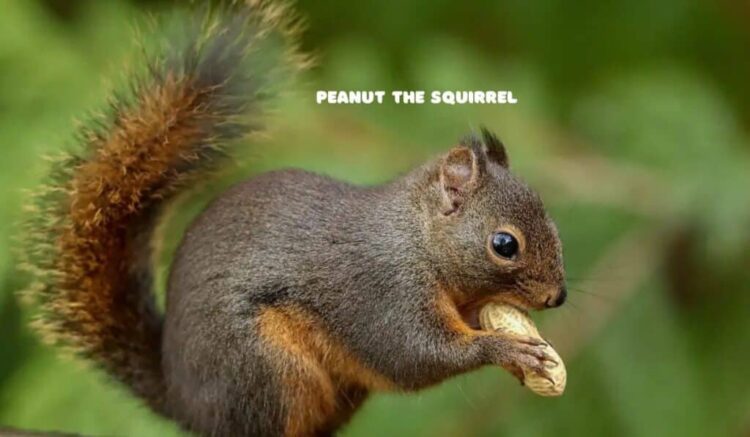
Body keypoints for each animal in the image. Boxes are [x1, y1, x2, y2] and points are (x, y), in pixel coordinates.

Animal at [20, 1, 567, 436]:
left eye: (554, 226)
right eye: (504, 244)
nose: (556, 298)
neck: (417, 241)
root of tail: (186, 403)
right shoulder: (383, 290)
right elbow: (414, 353)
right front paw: (507, 350)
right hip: (264, 369)